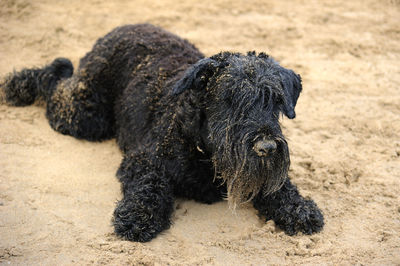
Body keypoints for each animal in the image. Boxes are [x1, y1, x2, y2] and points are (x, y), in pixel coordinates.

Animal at [0, 23, 324, 242]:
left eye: (275, 100)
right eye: (229, 97)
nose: (266, 147)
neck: (201, 146)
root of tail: (118, 29)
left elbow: (277, 186)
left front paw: (297, 208)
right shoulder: (143, 159)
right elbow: (150, 184)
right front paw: (138, 217)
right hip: (84, 116)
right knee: (56, 78)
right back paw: (19, 84)